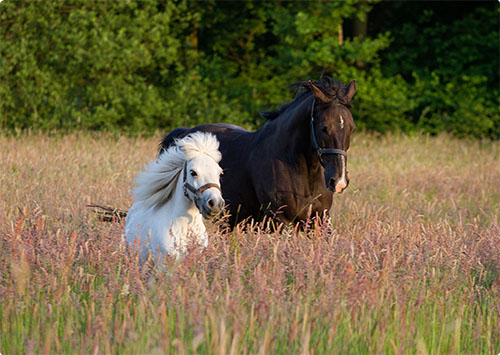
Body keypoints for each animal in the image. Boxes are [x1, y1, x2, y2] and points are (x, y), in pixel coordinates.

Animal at [160, 77, 356, 227]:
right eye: (324, 128)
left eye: (351, 128)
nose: (338, 181)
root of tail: (182, 134)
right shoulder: (281, 220)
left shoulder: (320, 220)